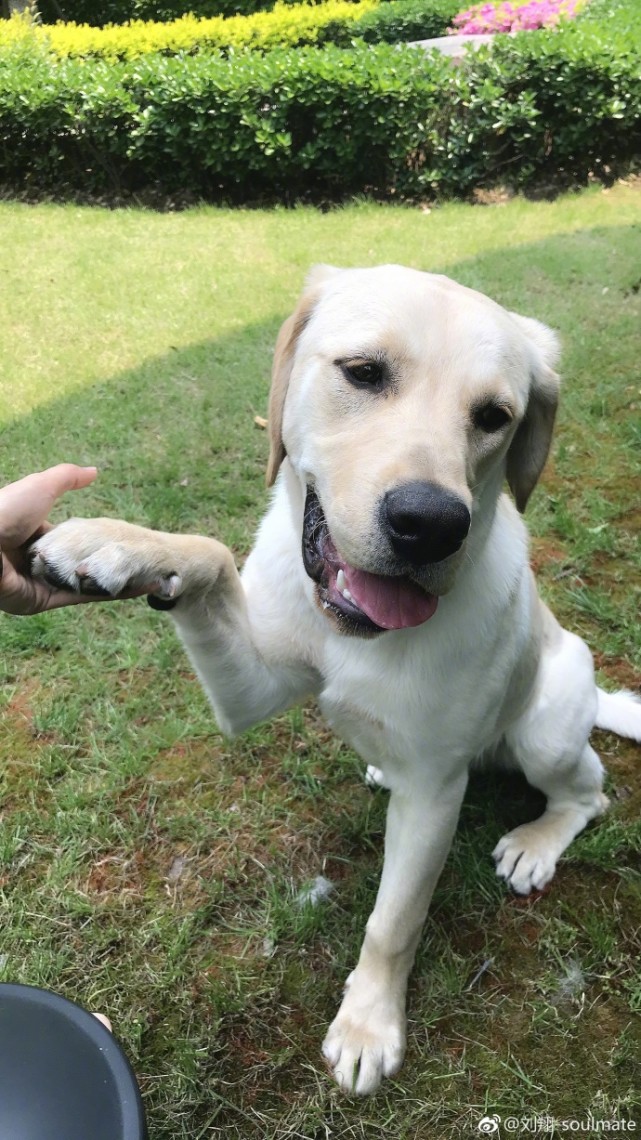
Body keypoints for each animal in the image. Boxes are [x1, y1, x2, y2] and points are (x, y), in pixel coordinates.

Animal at [32, 266, 638, 1094]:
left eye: (493, 416)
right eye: (362, 372)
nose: (430, 523)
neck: (355, 631)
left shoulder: (434, 792)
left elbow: (393, 921)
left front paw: (367, 1024)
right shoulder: (251, 686)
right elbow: (208, 552)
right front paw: (113, 544)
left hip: (547, 727)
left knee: (588, 790)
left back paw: (537, 841)